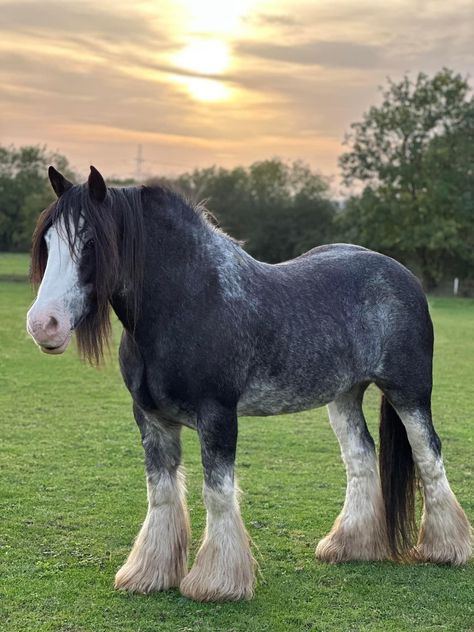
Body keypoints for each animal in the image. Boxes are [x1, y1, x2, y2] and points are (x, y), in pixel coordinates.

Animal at [27, 165, 472, 600]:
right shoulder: (151, 419)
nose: (43, 324)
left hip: (409, 392)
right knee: (361, 457)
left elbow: (217, 492)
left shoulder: (218, 416)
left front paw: (218, 583)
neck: (186, 302)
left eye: (89, 242)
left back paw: (446, 549)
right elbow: (162, 493)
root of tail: (402, 274)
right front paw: (148, 573)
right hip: (344, 396)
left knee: (428, 454)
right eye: (48, 241)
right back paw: (350, 545)